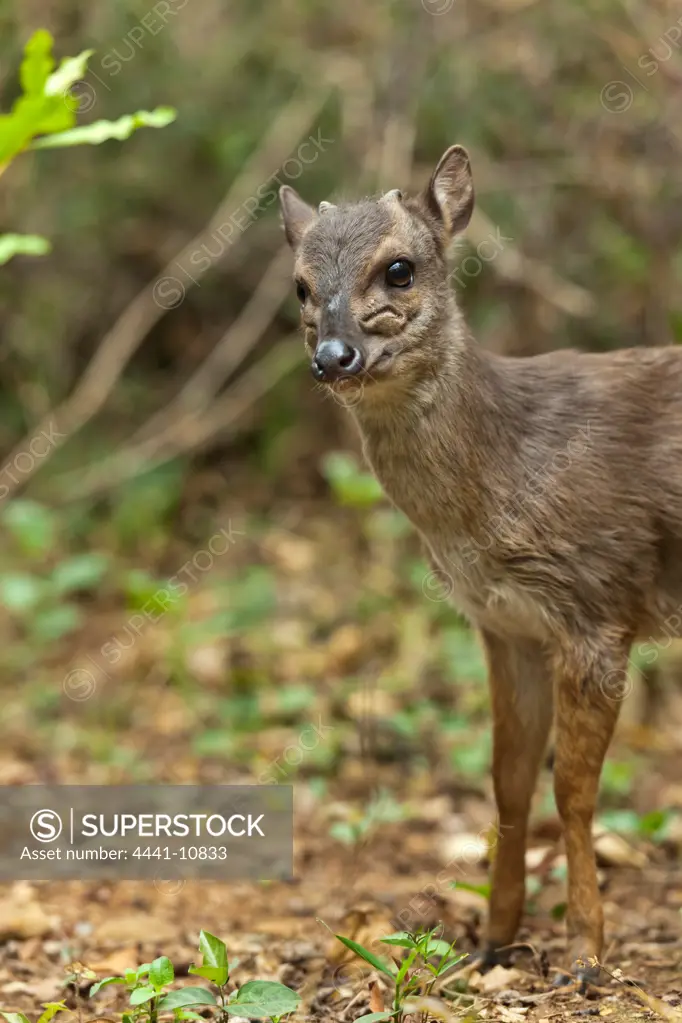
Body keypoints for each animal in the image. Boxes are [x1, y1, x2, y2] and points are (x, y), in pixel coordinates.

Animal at [278, 148, 682, 986]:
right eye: (300, 284)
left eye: (398, 269)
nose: (333, 357)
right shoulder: (507, 626)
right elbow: (508, 781)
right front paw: (495, 940)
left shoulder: (597, 604)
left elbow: (574, 790)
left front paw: (586, 953)